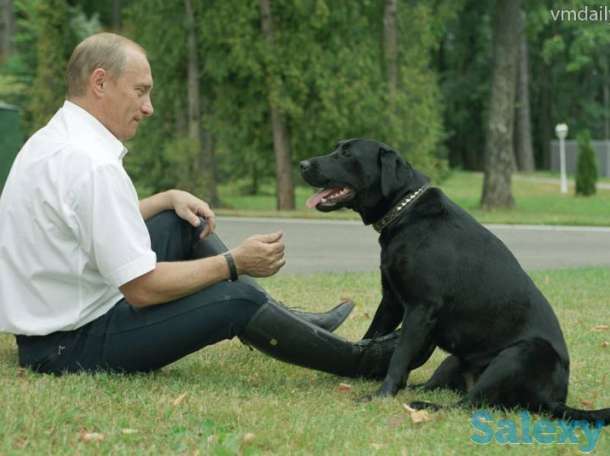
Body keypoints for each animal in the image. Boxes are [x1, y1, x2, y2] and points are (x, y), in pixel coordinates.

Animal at [300, 138, 608, 424]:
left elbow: (399, 357)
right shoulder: (390, 301)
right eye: (336, 148)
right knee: (439, 388)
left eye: (346, 154)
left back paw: (425, 406)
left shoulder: (420, 308)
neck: (405, 212)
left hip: (519, 355)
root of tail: (555, 399)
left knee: (469, 403)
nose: (302, 164)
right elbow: (371, 336)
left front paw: (380, 395)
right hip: (453, 360)